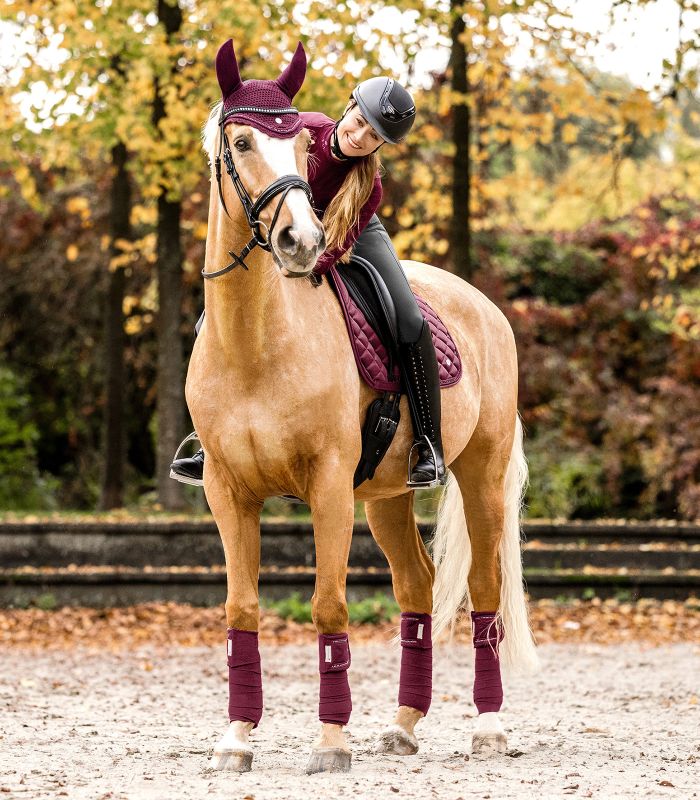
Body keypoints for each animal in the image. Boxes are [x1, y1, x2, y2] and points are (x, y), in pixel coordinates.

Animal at [183, 43, 540, 776]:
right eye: (242, 141)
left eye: (298, 142)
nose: (300, 240)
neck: (256, 343)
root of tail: (484, 306)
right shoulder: (226, 491)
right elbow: (241, 609)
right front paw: (236, 739)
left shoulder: (327, 488)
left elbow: (328, 607)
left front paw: (331, 742)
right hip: (386, 497)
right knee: (416, 588)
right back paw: (403, 726)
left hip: (481, 477)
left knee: (485, 589)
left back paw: (489, 728)